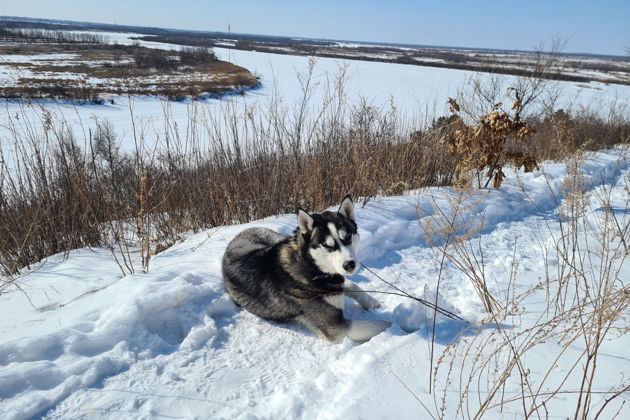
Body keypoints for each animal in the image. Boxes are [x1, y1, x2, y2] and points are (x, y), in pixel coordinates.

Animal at [222, 196, 390, 342]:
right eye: (327, 245)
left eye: (348, 237)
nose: (350, 265)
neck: (311, 268)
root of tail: (237, 235)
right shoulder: (335, 327)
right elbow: (381, 323)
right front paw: (395, 324)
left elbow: (350, 285)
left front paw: (371, 302)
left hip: (278, 239)